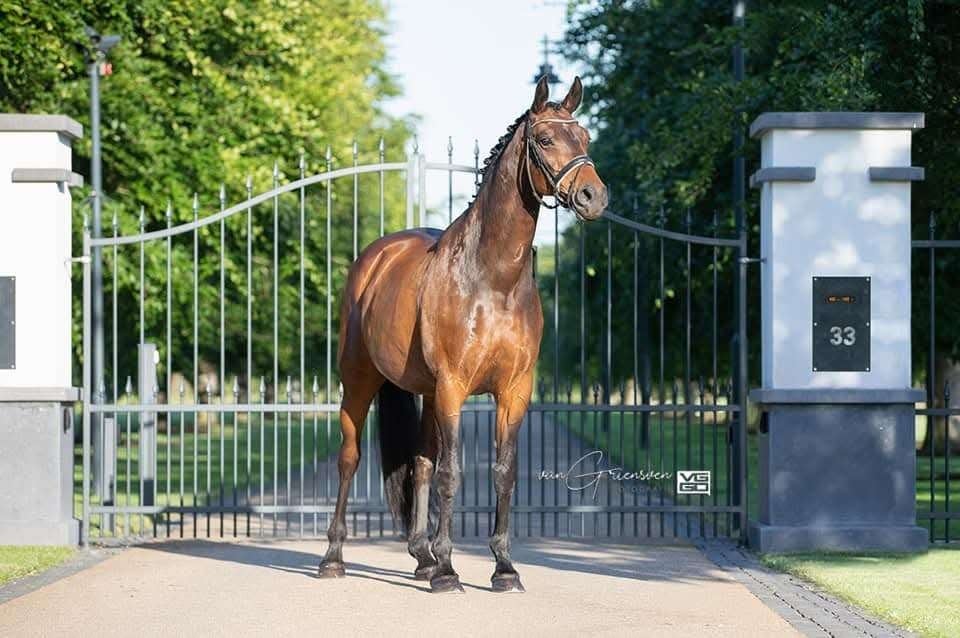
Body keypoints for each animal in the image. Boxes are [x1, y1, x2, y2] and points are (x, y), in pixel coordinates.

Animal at [318, 76, 608, 593]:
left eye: (585, 137)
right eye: (545, 140)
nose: (595, 196)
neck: (491, 279)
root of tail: (374, 259)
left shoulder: (513, 391)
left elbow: (502, 472)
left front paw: (503, 567)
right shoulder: (454, 386)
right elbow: (453, 473)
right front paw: (450, 570)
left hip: (427, 394)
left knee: (420, 462)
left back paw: (422, 556)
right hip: (359, 381)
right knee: (350, 458)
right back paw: (335, 557)